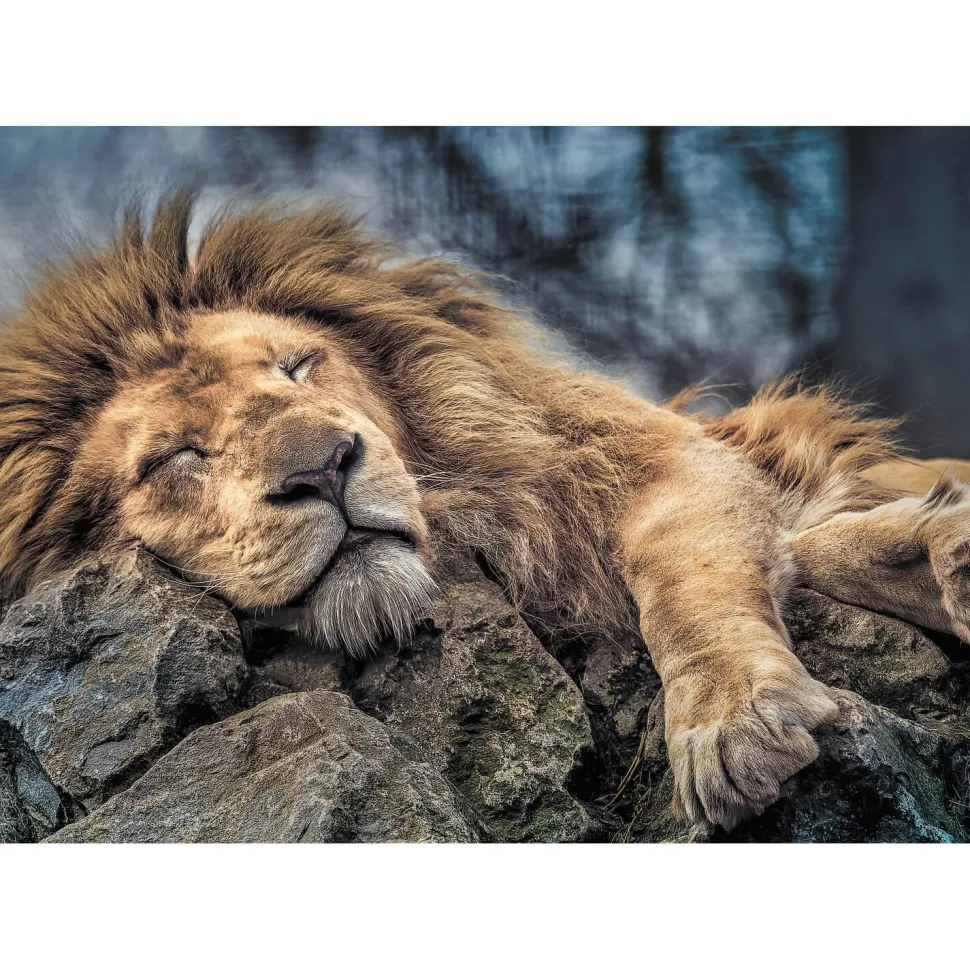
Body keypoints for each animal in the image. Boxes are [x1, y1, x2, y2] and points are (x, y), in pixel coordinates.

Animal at [1, 190, 968, 832]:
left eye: (299, 366)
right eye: (175, 457)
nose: (325, 467)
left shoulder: (663, 456)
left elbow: (685, 573)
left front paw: (735, 717)